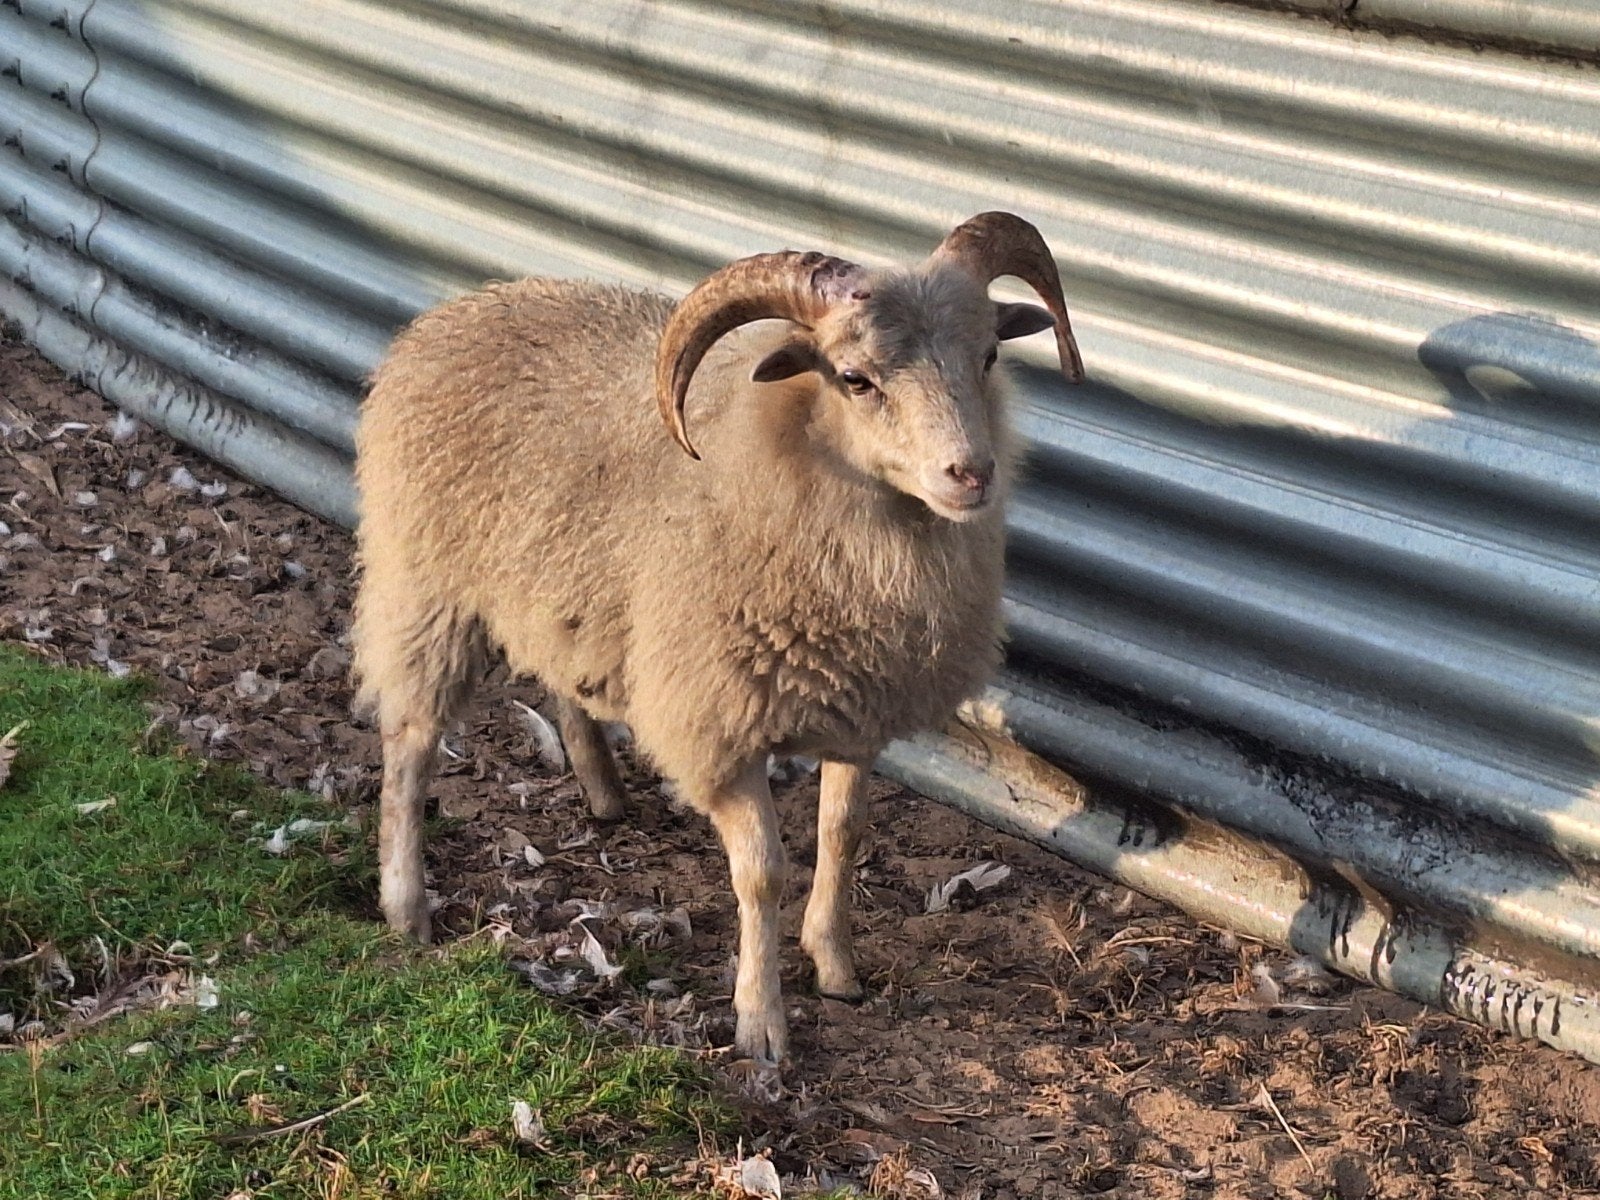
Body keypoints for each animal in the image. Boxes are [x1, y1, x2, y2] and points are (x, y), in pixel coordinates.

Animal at [350, 211, 1082, 1064]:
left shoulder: (860, 709)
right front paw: (761, 1023)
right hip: (426, 584)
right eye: (854, 379)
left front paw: (835, 964)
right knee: (411, 738)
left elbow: (843, 833)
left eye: (989, 354)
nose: (971, 474)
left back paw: (602, 791)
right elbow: (762, 871)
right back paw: (405, 904)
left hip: (565, 593)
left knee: (561, 676)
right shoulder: (718, 722)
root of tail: (455, 311)